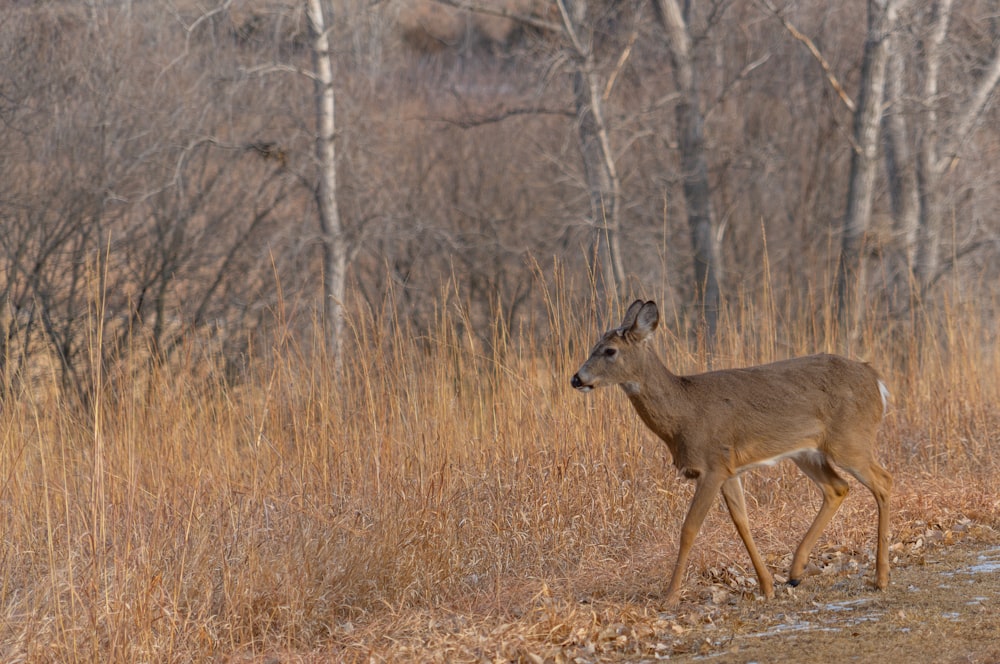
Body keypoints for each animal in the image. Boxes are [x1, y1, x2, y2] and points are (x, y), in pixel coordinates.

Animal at [576, 300, 896, 608]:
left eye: (610, 350)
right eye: (593, 345)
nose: (576, 379)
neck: (683, 414)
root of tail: (876, 380)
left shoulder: (712, 466)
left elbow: (689, 529)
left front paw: (669, 597)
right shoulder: (730, 469)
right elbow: (742, 523)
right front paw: (767, 587)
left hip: (850, 439)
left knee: (883, 480)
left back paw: (880, 578)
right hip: (807, 451)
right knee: (837, 487)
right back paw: (795, 572)